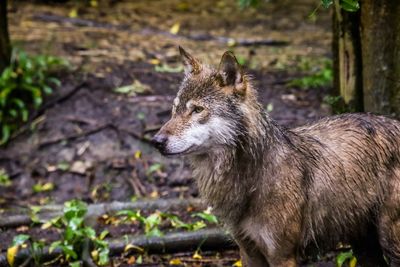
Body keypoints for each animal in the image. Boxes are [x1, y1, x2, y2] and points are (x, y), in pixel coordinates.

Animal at [152, 48, 400, 267]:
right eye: (174, 109)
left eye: (197, 110)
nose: (156, 141)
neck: (251, 178)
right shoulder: (248, 251)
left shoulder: (282, 256)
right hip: (364, 246)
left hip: (390, 240)